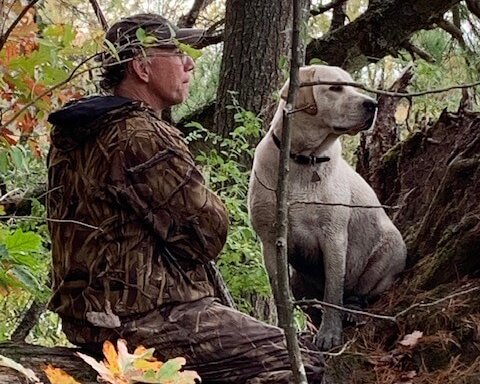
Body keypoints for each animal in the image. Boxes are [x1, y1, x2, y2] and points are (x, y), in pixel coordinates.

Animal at [249, 64, 406, 350]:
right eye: (335, 87)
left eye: (354, 86)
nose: (373, 104)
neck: (303, 160)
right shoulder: (269, 242)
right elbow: (280, 295)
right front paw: (286, 332)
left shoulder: (333, 237)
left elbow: (333, 290)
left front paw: (330, 334)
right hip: (298, 280)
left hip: (390, 249)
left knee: (360, 292)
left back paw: (353, 310)